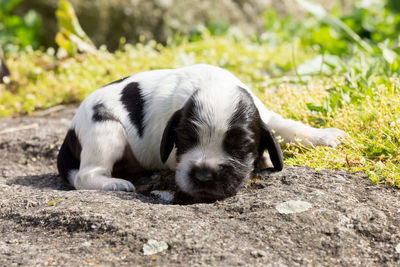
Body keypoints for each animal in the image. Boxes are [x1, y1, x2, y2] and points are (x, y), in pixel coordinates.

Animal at [57, 64, 346, 203]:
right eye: (185, 139)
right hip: (105, 129)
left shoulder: (265, 114)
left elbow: (288, 126)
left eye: (240, 146)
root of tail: (69, 132)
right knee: (85, 175)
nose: (205, 175)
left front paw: (324, 136)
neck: (214, 84)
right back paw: (114, 183)